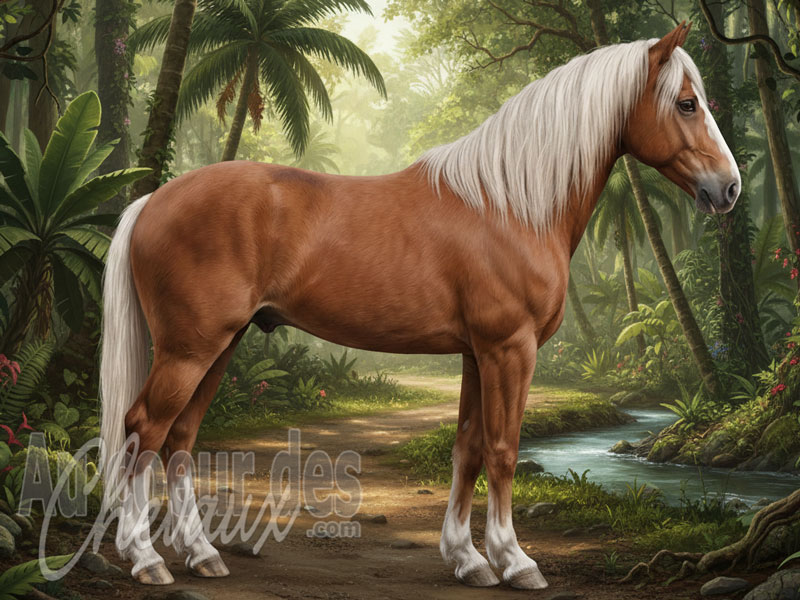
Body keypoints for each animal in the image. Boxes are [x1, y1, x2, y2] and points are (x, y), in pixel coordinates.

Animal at [99, 22, 739, 590]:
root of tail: (152, 200)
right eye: (686, 104)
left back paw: (202, 554)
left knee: (180, 439)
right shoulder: (510, 349)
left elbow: (468, 450)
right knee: (144, 430)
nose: (728, 188)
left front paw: (469, 559)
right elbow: (503, 450)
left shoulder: (478, 355)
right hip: (191, 348)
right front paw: (516, 562)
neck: (510, 205)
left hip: (220, 345)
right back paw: (146, 559)